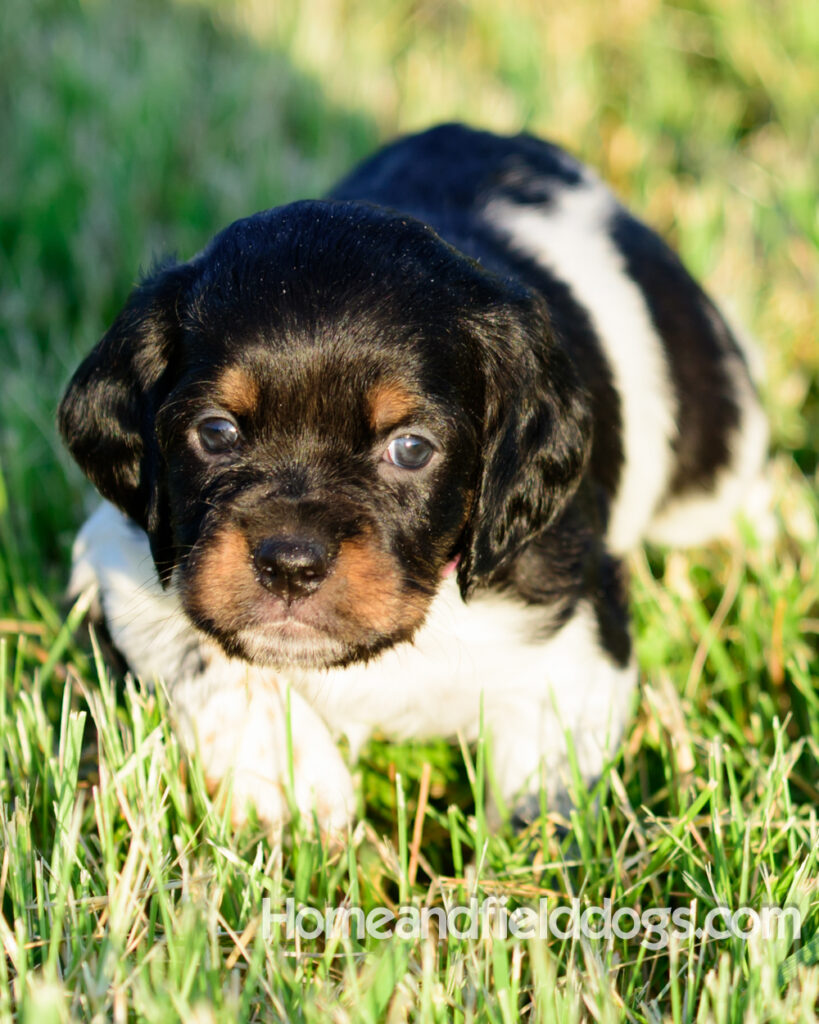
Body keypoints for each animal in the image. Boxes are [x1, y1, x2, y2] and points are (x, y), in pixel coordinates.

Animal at [59, 123, 769, 835]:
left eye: (410, 448)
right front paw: (294, 783)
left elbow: (541, 787)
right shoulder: (122, 550)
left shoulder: (573, 627)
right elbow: (205, 657)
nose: (290, 566)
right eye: (214, 433)